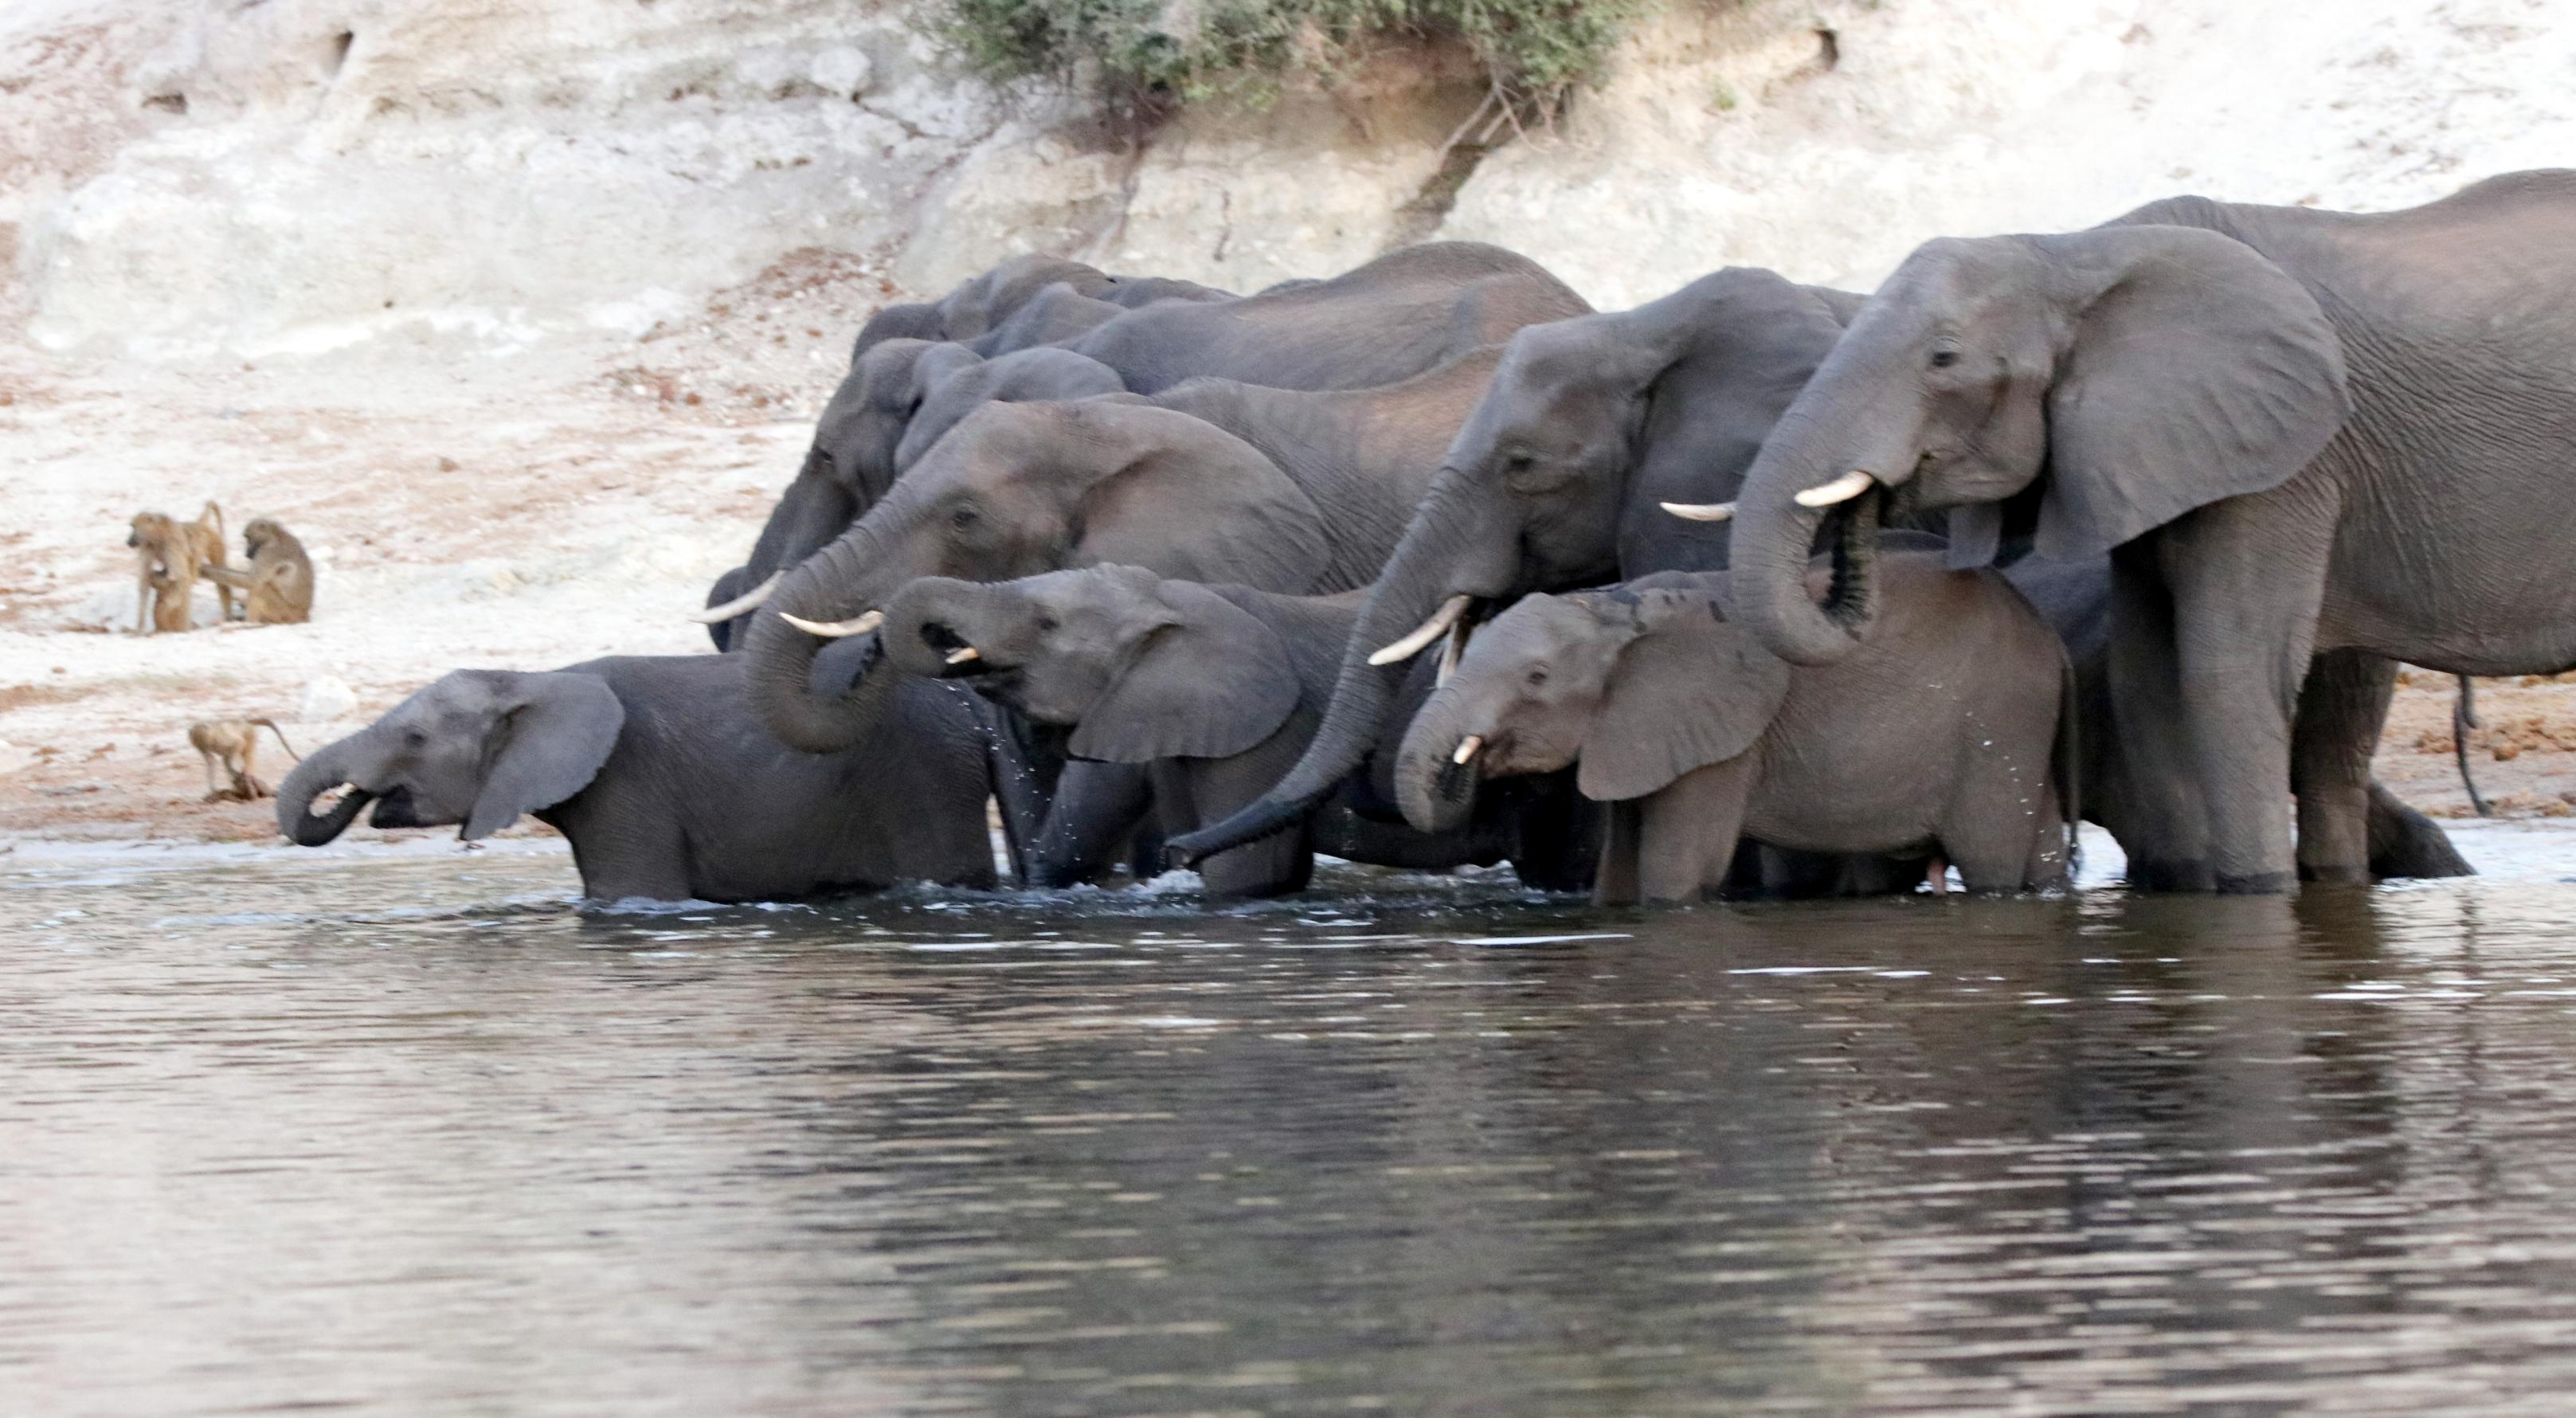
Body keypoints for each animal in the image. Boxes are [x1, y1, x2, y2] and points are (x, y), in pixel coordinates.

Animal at [274, 649, 994, 907]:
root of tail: (970, 704)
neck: (532, 678)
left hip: (929, 778)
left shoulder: (626, 785)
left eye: (415, 740)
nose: (356, 795)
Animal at [886, 567, 1597, 902]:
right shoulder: (1144, 704)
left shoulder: (1264, 736)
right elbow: (1077, 836)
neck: (1168, 601)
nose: (1177, 855)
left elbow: (1244, 875)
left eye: (1046, 624)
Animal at [1401, 557, 2081, 912]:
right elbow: (1617, 872)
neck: (1618, 610)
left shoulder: (1716, 740)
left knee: (1991, 856)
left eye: (1537, 677)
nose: (1468, 763)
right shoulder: (1634, 732)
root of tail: (2052, 635)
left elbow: (1677, 871)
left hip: (1999, 724)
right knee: (2041, 849)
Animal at [1710, 172, 2576, 897]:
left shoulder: (2286, 457)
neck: (2072, 253)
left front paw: (2258, 898)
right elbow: (2148, 675)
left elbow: (2225, 668)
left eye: (1944, 359)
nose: (1872, 501)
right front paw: (2183, 890)